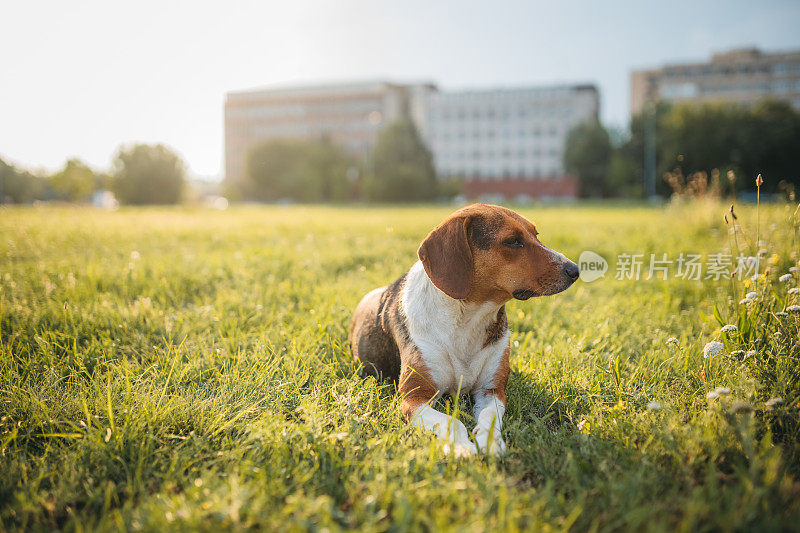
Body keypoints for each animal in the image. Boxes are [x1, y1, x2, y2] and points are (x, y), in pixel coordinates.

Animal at [346, 203, 580, 454]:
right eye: (513, 241)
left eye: (536, 234)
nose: (575, 270)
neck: (467, 317)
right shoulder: (414, 398)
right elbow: (451, 422)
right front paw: (460, 447)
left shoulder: (492, 391)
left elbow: (490, 417)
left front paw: (490, 441)